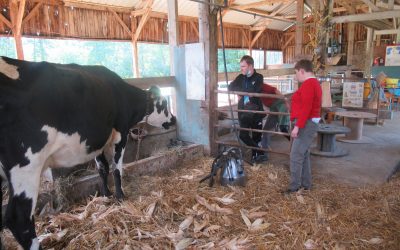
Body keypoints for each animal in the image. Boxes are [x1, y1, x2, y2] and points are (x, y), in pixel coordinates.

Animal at [0, 57, 175, 250]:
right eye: (163, 105)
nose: (174, 119)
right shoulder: (120, 135)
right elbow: (117, 169)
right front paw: (120, 196)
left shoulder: (97, 142)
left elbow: (103, 169)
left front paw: (106, 195)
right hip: (26, 166)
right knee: (19, 218)